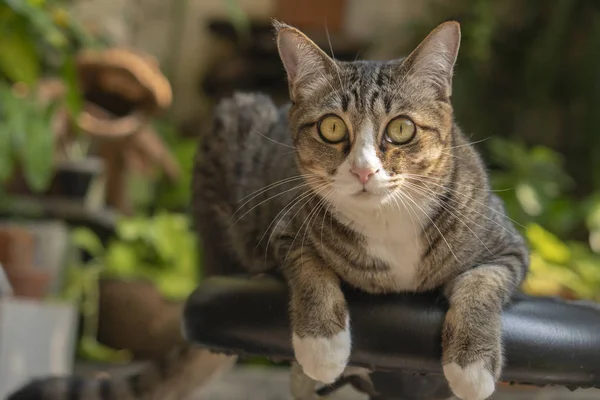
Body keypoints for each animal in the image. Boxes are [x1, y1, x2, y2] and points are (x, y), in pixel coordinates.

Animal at [193, 20, 528, 400]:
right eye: (332, 126)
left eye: (401, 128)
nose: (363, 170)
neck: (387, 218)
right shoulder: (286, 228)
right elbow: (309, 267)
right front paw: (322, 345)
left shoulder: (506, 244)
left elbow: (482, 283)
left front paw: (471, 367)